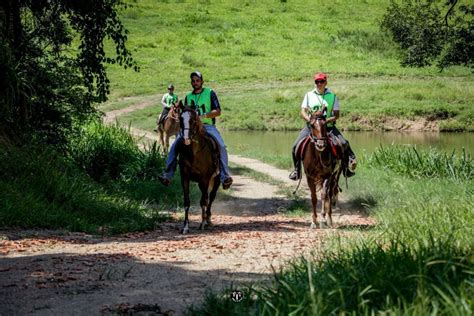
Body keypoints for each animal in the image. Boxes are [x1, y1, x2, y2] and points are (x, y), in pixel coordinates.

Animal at [177, 101, 221, 235]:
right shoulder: (185, 178)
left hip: (216, 180)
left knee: (210, 197)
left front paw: (202, 224)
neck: (194, 153)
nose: (186, 139)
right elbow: (186, 202)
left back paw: (208, 220)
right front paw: (185, 227)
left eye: (192, 119)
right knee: (206, 197)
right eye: (181, 118)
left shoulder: (205, 179)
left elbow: (203, 201)